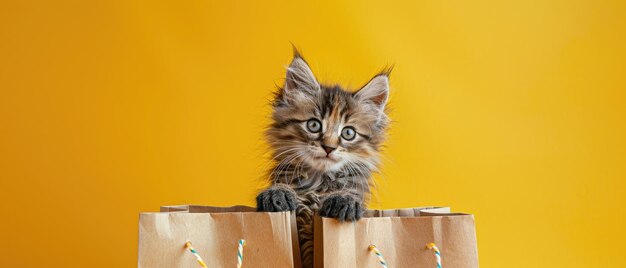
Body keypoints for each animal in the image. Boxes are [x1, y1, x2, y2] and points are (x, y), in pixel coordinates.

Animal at [256, 49, 388, 266]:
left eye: (348, 133)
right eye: (314, 125)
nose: (329, 147)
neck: (318, 182)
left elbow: (350, 196)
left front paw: (343, 200)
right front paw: (278, 193)